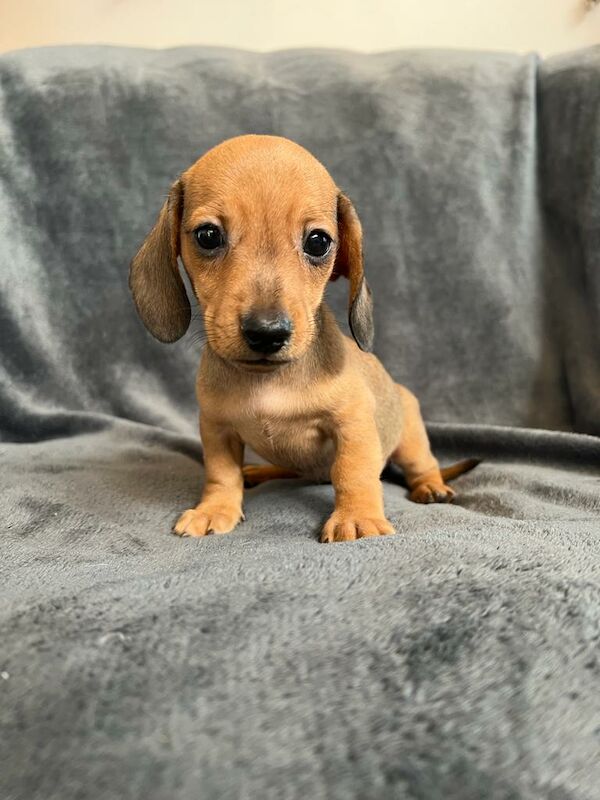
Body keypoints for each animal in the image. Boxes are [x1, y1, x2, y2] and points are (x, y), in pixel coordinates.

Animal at [129, 134, 476, 544]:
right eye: (208, 235)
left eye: (318, 242)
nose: (267, 333)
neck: (269, 380)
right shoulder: (217, 428)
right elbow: (221, 474)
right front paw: (215, 508)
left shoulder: (352, 423)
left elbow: (354, 472)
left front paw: (357, 517)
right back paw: (258, 472)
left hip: (409, 436)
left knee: (422, 464)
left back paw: (430, 485)